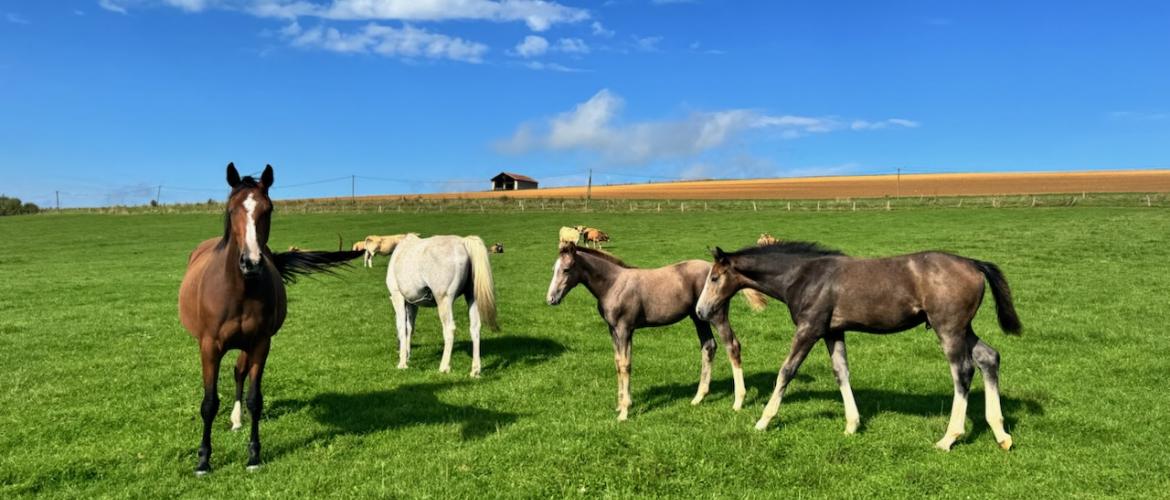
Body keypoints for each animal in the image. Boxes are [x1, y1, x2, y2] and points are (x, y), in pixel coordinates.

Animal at [179, 163, 362, 475]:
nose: (251, 262)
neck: (239, 289)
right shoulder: (209, 346)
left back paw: (237, 419)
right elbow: (209, 403)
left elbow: (255, 399)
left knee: (239, 373)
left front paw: (253, 456)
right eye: (231, 209)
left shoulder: (260, 344)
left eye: (269, 209)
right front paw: (203, 460)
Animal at [386, 234, 499, 377]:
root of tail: (463, 242)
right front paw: (407, 356)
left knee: (449, 328)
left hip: (444, 300)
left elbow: (402, 328)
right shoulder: (412, 304)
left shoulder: (397, 297)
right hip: (472, 298)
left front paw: (402, 363)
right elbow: (409, 328)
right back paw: (475, 370)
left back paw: (444, 367)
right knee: (475, 328)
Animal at [545, 243, 768, 420]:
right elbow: (618, 363)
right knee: (709, 346)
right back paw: (698, 397)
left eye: (566, 269)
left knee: (732, 346)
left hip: (716, 315)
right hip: (698, 316)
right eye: (554, 269)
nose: (551, 299)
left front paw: (624, 412)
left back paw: (738, 401)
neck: (613, 284)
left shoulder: (624, 329)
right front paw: (620, 404)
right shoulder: (614, 330)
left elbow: (625, 365)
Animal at [695, 241, 1021, 450]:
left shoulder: (809, 329)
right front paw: (852, 424)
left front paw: (763, 421)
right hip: (963, 328)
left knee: (963, 371)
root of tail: (973, 264)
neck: (804, 277)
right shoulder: (832, 332)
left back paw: (949, 437)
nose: (701, 311)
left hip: (949, 329)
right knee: (989, 357)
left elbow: (786, 371)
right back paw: (1001, 433)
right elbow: (841, 372)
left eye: (715, 277)